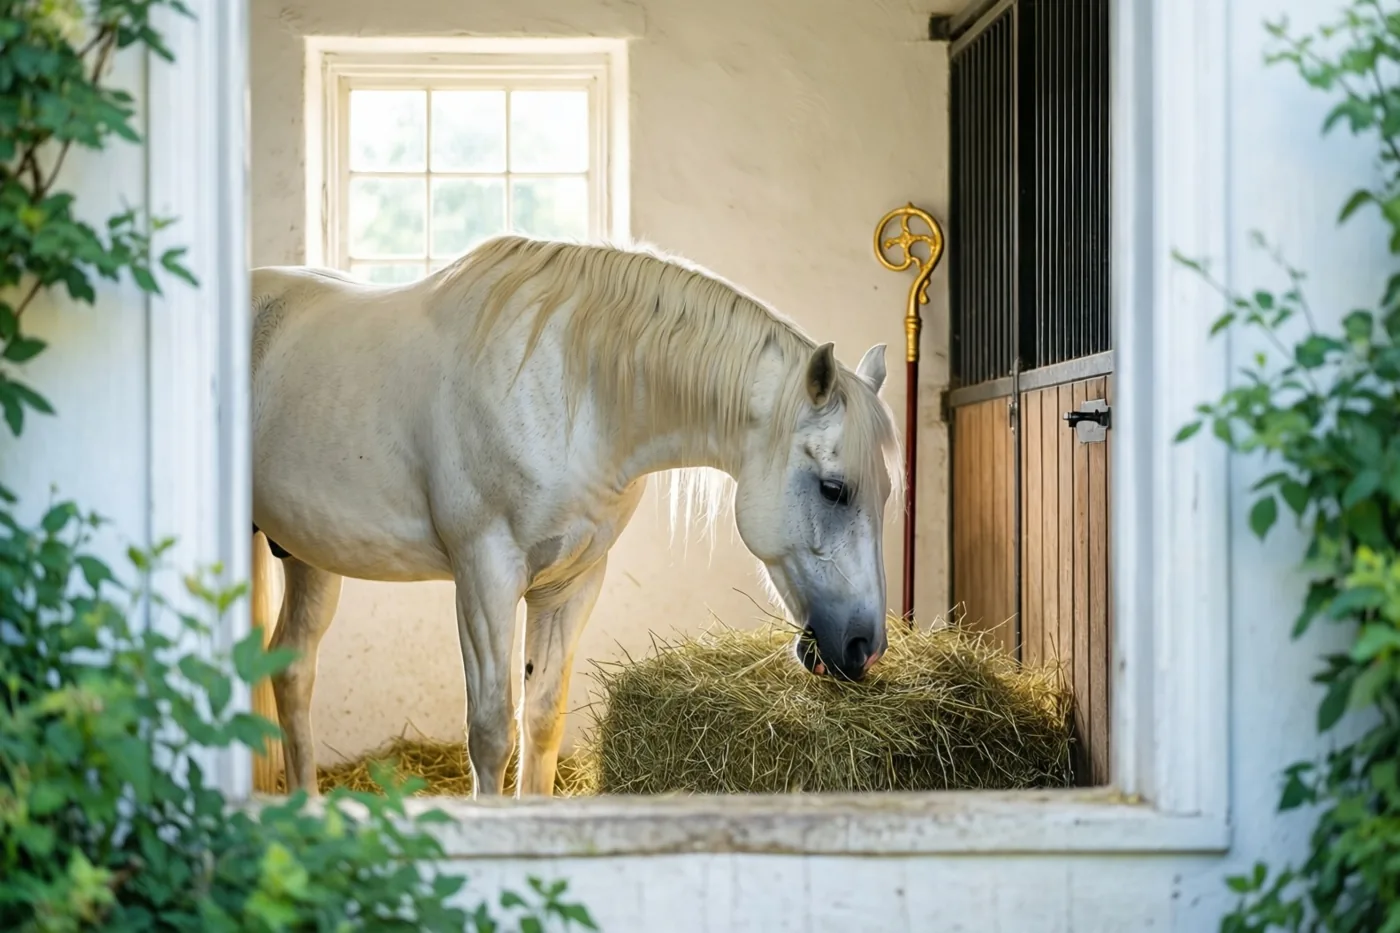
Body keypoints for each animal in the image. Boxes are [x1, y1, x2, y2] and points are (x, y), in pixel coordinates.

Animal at [249, 234, 903, 798]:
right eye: (834, 489)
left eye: (886, 493)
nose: (865, 647)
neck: (571, 393)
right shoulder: (484, 577)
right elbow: (491, 734)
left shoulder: (570, 583)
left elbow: (541, 723)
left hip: (310, 556)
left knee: (292, 670)